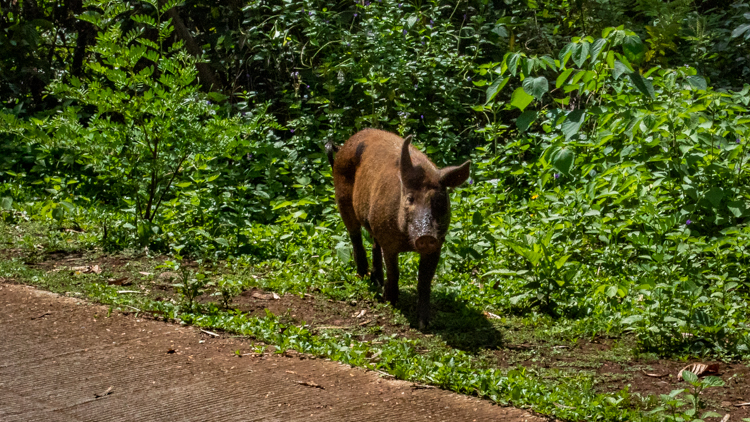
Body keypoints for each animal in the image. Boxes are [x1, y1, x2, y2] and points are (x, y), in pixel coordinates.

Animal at [326, 129, 471, 329]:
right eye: (410, 198)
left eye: (439, 200)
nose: (426, 236)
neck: (407, 241)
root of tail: (343, 146)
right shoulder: (389, 243)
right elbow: (394, 271)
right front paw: (390, 301)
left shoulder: (437, 244)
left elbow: (424, 281)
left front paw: (424, 324)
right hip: (342, 199)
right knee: (355, 236)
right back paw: (363, 276)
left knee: (374, 244)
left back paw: (376, 281)